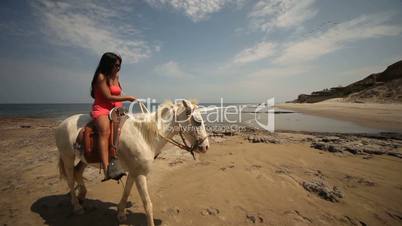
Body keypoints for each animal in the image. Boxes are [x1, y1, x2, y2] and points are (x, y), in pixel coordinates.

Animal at [54, 100, 209, 225]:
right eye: (197, 121)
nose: (206, 147)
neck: (144, 136)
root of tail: (62, 124)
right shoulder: (140, 174)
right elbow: (147, 204)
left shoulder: (134, 172)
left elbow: (127, 191)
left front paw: (121, 214)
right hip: (67, 157)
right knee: (70, 179)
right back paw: (77, 206)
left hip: (84, 159)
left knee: (78, 172)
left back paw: (82, 196)